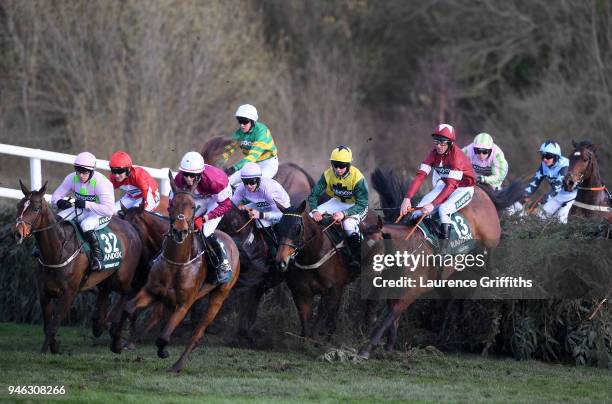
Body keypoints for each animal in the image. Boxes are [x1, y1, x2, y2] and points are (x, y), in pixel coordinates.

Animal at [11, 180, 143, 354]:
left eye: (36, 208)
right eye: (19, 205)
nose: (17, 233)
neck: (58, 250)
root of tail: (132, 227)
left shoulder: (69, 294)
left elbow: (53, 325)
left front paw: (44, 352)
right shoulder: (44, 293)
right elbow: (47, 325)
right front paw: (54, 347)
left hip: (123, 278)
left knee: (129, 293)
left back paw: (116, 337)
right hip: (106, 279)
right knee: (103, 299)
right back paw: (102, 325)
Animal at [120, 173, 240, 372]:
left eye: (193, 206)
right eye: (171, 204)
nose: (180, 231)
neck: (178, 262)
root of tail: (232, 242)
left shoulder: (184, 304)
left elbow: (163, 336)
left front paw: (162, 351)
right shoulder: (155, 291)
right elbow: (133, 309)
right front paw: (125, 341)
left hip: (219, 296)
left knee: (197, 334)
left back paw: (177, 365)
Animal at [356, 169, 524, 358]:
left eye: (376, 246)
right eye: (359, 244)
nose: (365, 275)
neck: (407, 251)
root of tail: (480, 189)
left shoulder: (410, 293)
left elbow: (388, 318)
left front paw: (367, 349)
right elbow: (392, 319)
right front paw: (389, 346)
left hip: (490, 234)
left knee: (490, 250)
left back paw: (491, 269)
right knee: (453, 300)